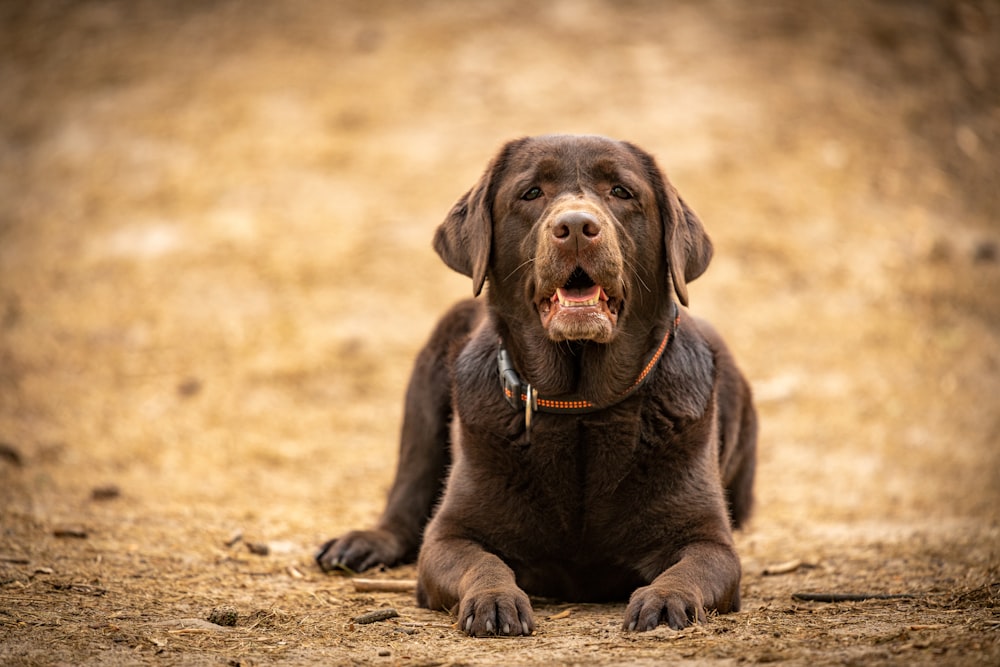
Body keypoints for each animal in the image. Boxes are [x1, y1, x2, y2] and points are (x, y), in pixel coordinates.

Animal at [316, 134, 752, 636]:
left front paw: (664, 600)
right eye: (531, 193)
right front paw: (495, 600)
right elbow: (482, 563)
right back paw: (362, 542)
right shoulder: (450, 537)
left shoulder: (710, 542)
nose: (577, 226)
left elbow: (691, 568)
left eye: (621, 192)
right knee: (406, 498)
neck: (581, 407)